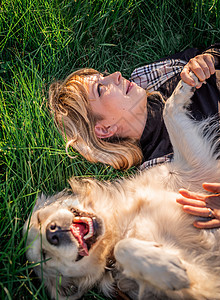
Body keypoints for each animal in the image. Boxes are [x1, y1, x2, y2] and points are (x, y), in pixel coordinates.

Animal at [23, 73, 220, 300]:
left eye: (40, 218)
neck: (120, 222)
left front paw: (187, 83)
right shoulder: (202, 282)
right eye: (44, 256)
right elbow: (121, 247)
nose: (52, 232)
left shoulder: (192, 166)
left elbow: (169, 110)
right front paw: (164, 268)